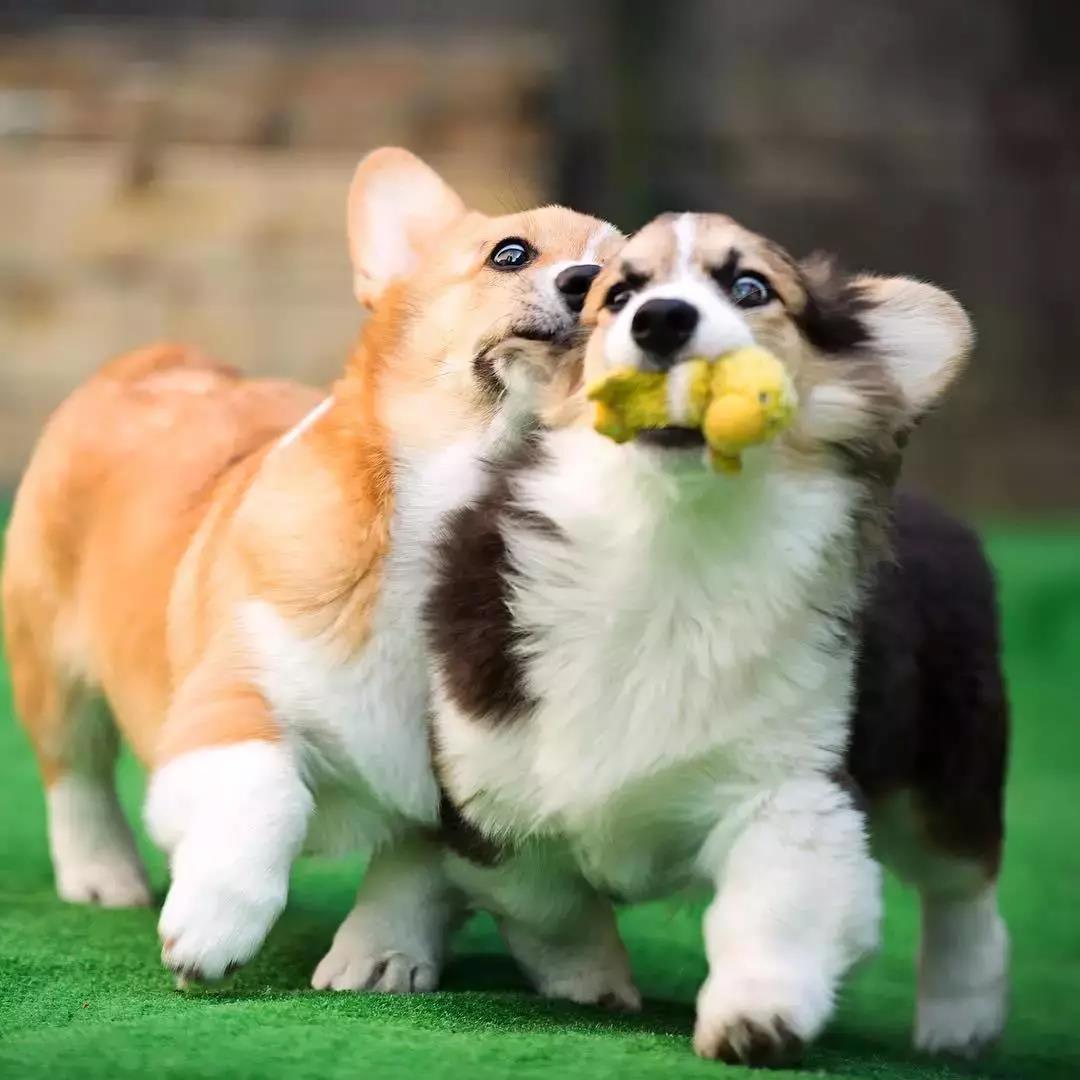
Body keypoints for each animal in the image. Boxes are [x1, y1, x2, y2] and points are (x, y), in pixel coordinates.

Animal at [2, 147, 623, 989]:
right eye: (511, 253)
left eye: (631, 278)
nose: (586, 283)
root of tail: (155, 358)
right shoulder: (235, 693)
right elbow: (265, 791)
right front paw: (213, 923)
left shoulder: (456, 793)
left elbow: (415, 869)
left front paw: (380, 956)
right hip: (50, 664)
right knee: (75, 771)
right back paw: (103, 874)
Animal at [425, 212, 1009, 1063]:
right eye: (619, 295)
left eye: (749, 287)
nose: (662, 319)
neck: (670, 540)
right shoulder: (486, 796)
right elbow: (546, 900)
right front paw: (592, 979)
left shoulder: (792, 790)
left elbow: (772, 910)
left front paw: (755, 1018)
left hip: (948, 771)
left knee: (964, 889)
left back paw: (961, 1019)